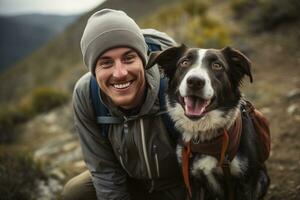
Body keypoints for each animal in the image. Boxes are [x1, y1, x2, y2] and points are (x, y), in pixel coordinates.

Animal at [146, 45, 270, 200]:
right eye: (184, 62)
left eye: (217, 65)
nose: (195, 81)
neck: (206, 137)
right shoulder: (192, 181)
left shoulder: (247, 182)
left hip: (262, 178)